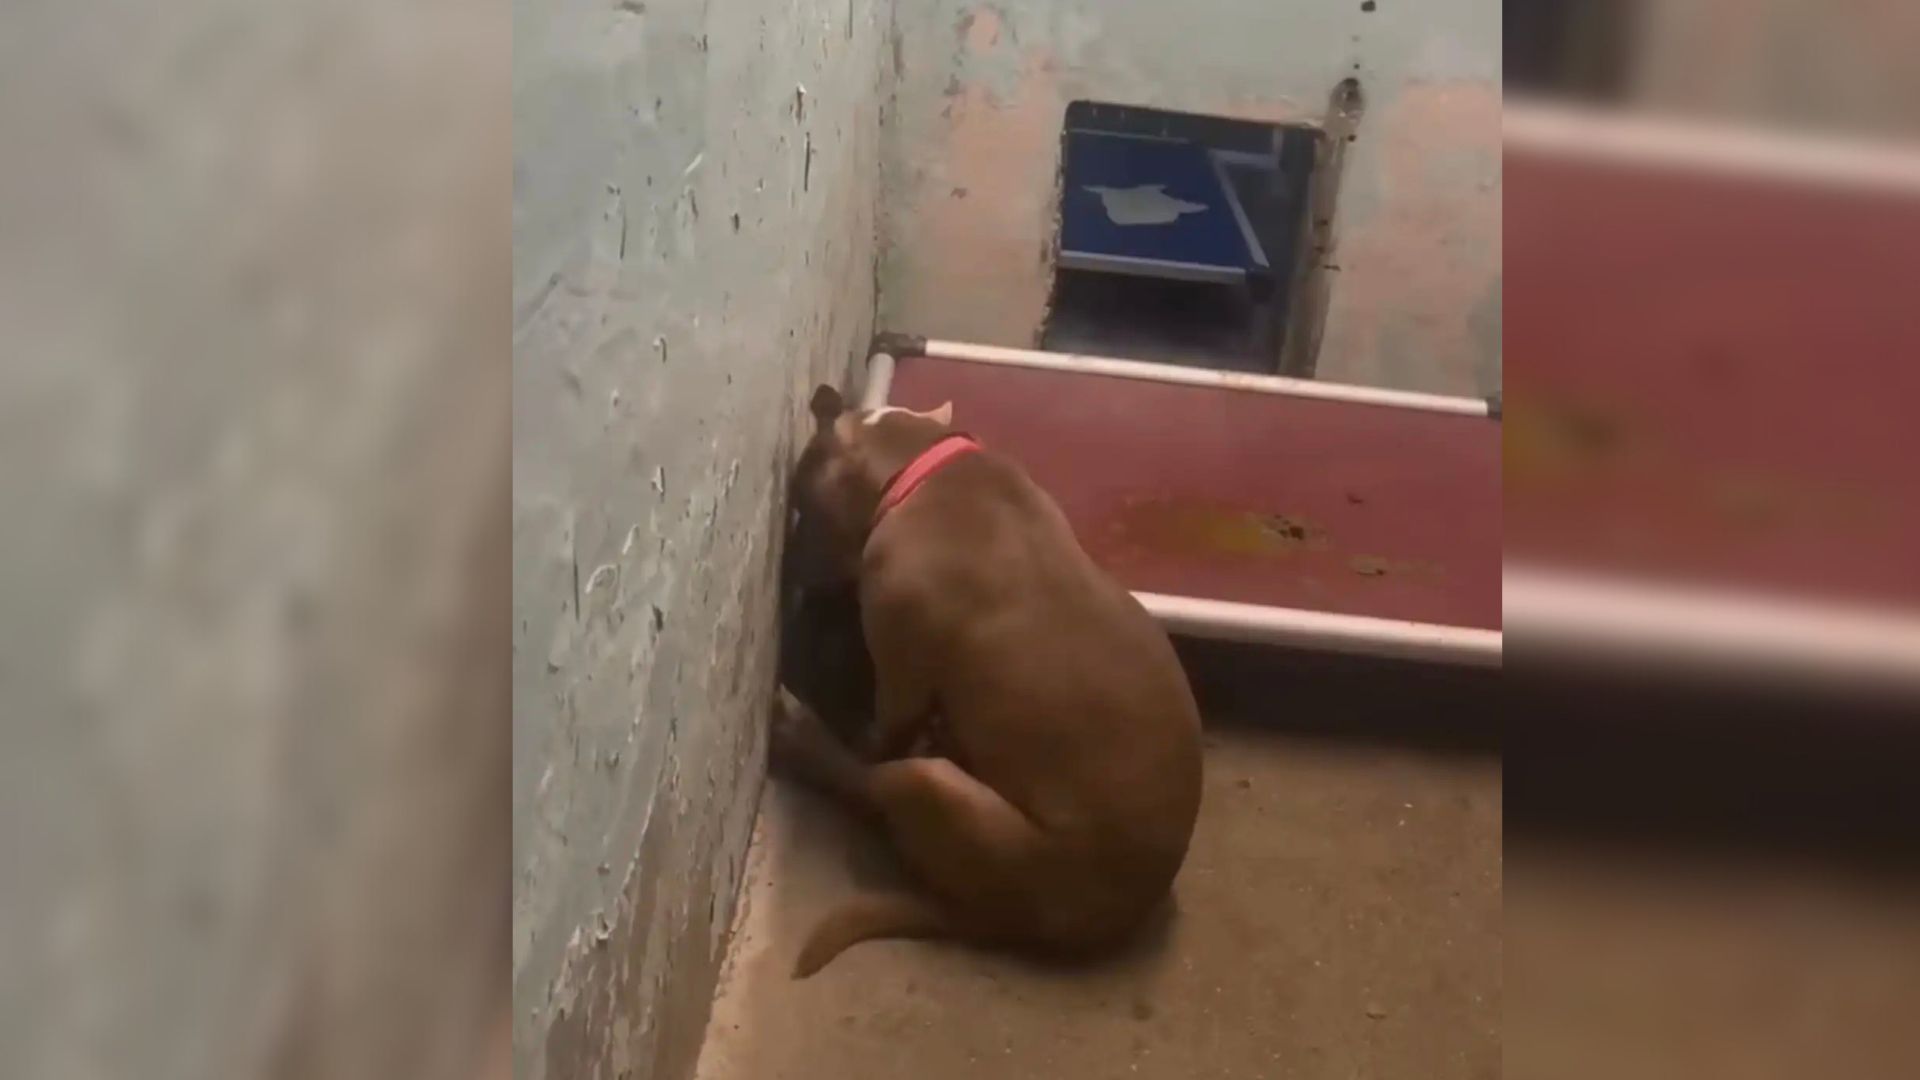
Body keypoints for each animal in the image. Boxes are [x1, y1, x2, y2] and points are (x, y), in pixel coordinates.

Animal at [768, 382, 1198, 972]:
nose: (790, 572)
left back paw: (801, 736)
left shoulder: (899, 677)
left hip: (938, 790)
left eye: (801, 506)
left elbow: (876, 737)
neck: (917, 465)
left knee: (869, 782)